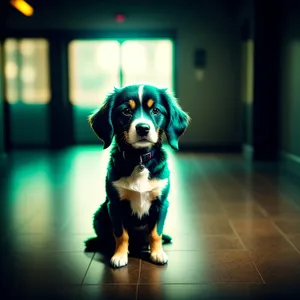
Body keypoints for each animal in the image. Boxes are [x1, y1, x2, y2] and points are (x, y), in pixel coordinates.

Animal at [87, 84, 190, 268]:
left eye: (156, 110)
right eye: (126, 111)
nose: (143, 128)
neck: (139, 159)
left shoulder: (161, 203)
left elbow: (156, 233)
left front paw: (157, 254)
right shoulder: (115, 205)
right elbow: (121, 234)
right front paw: (120, 255)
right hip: (98, 216)